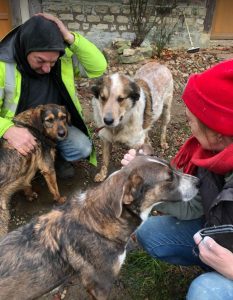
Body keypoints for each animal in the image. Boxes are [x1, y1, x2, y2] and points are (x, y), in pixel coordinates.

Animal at [0, 103, 70, 237]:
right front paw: (60, 200)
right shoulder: (47, 167)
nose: (62, 133)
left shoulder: (30, 165)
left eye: (63, 117)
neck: (34, 126)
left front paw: (29, 194)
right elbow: (54, 188)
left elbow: (26, 181)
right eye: (49, 120)